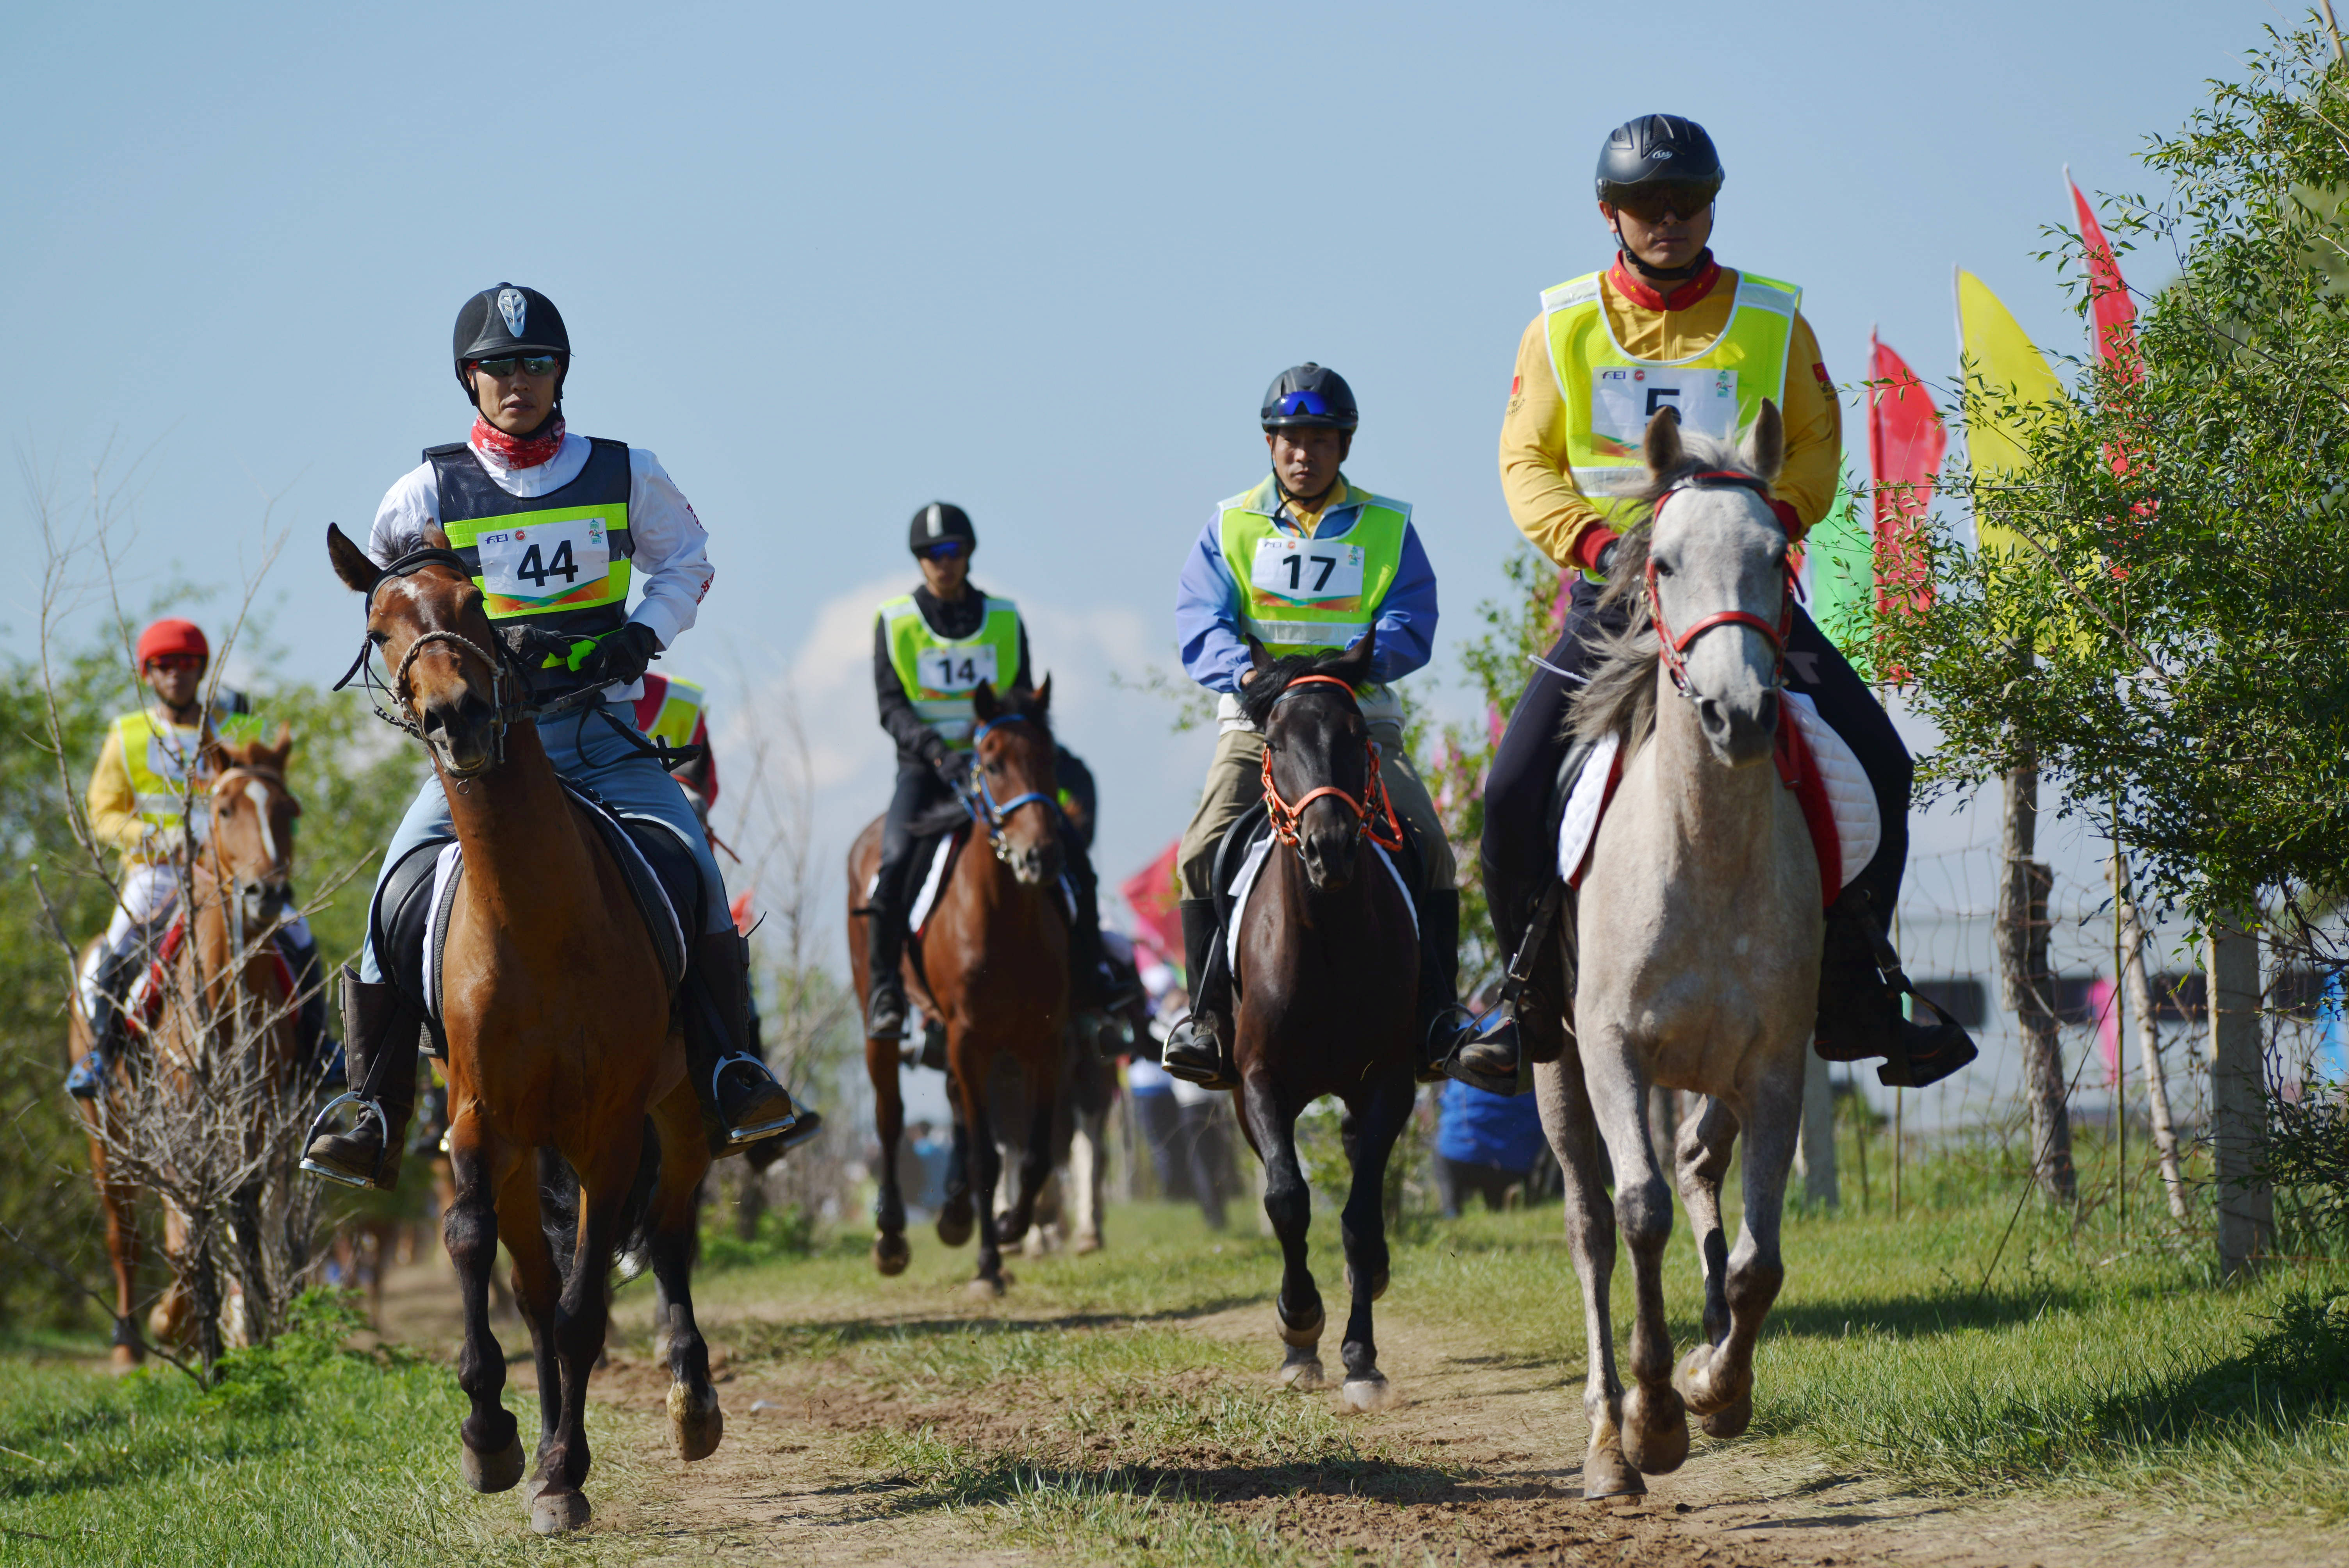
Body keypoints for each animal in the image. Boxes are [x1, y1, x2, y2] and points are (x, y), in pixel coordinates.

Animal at [68, 727, 310, 1361]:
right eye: (224, 809)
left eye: (289, 812)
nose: (266, 892)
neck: (224, 992)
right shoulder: (181, 1112)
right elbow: (183, 1232)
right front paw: (180, 1323)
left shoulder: (256, 1110)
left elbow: (244, 1212)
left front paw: (250, 1326)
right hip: (109, 1136)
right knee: (125, 1232)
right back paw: (130, 1342)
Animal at [326, 523, 718, 1530]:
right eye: (379, 629)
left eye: (474, 606)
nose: (456, 717)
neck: (536, 921)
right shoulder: (479, 1121)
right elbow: (478, 1250)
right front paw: (493, 1438)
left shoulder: (609, 1132)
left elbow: (588, 1304)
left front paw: (564, 1473)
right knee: (533, 1286)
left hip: (680, 1114)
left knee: (667, 1237)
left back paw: (690, 1401)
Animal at [855, 681, 1076, 1295]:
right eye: (993, 763)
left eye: (1050, 760)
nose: (1042, 856)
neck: (1002, 921)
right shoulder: (968, 1039)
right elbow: (986, 1157)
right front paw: (989, 1265)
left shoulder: (1045, 1043)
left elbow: (1035, 1155)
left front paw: (1008, 1227)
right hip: (885, 1023)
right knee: (890, 1115)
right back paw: (891, 1237)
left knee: (955, 1105)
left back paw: (955, 1215)